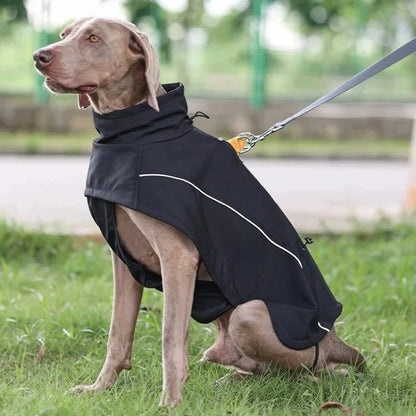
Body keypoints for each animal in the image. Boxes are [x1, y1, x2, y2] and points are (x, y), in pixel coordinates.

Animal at [33, 17, 364, 408]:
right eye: (64, 35)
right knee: (255, 366)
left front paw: (170, 402)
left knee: (313, 373)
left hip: (251, 315)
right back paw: (234, 379)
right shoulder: (123, 259)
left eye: (94, 38)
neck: (137, 134)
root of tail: (335, 340)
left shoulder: (178, 257)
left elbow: (169, 337)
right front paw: (100, 389)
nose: (39, 56)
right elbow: (117, 333)